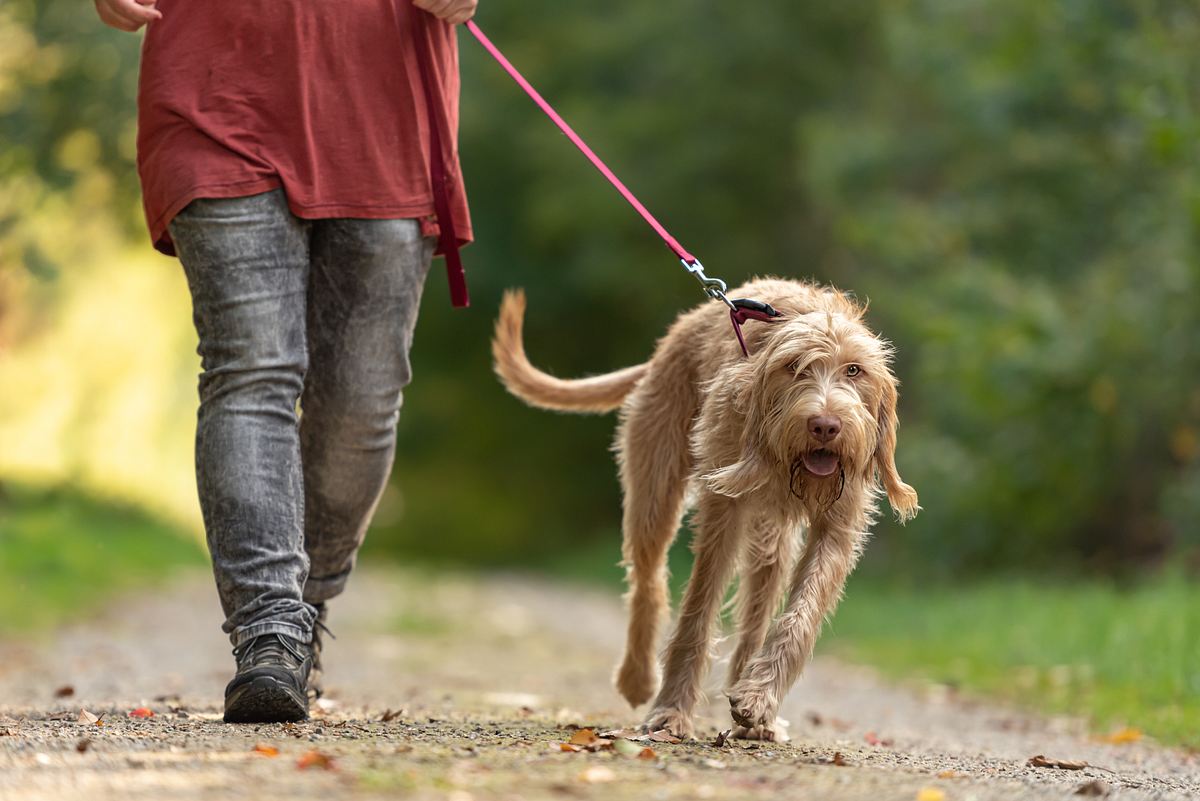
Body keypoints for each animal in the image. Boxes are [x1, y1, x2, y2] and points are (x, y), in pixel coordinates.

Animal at [487, 278, 916, 743]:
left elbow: (800, 616)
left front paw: (759, 699)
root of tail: (675, 336)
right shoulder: (723, 511)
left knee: (756, 612)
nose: (825, 425)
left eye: (854, 370)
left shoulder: (838, 526)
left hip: (772, 540)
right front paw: (671, 710)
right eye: (794, 367)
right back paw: (638, 677)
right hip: (654, 492)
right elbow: (698, 609)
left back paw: (752, 705)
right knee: (648, 583)